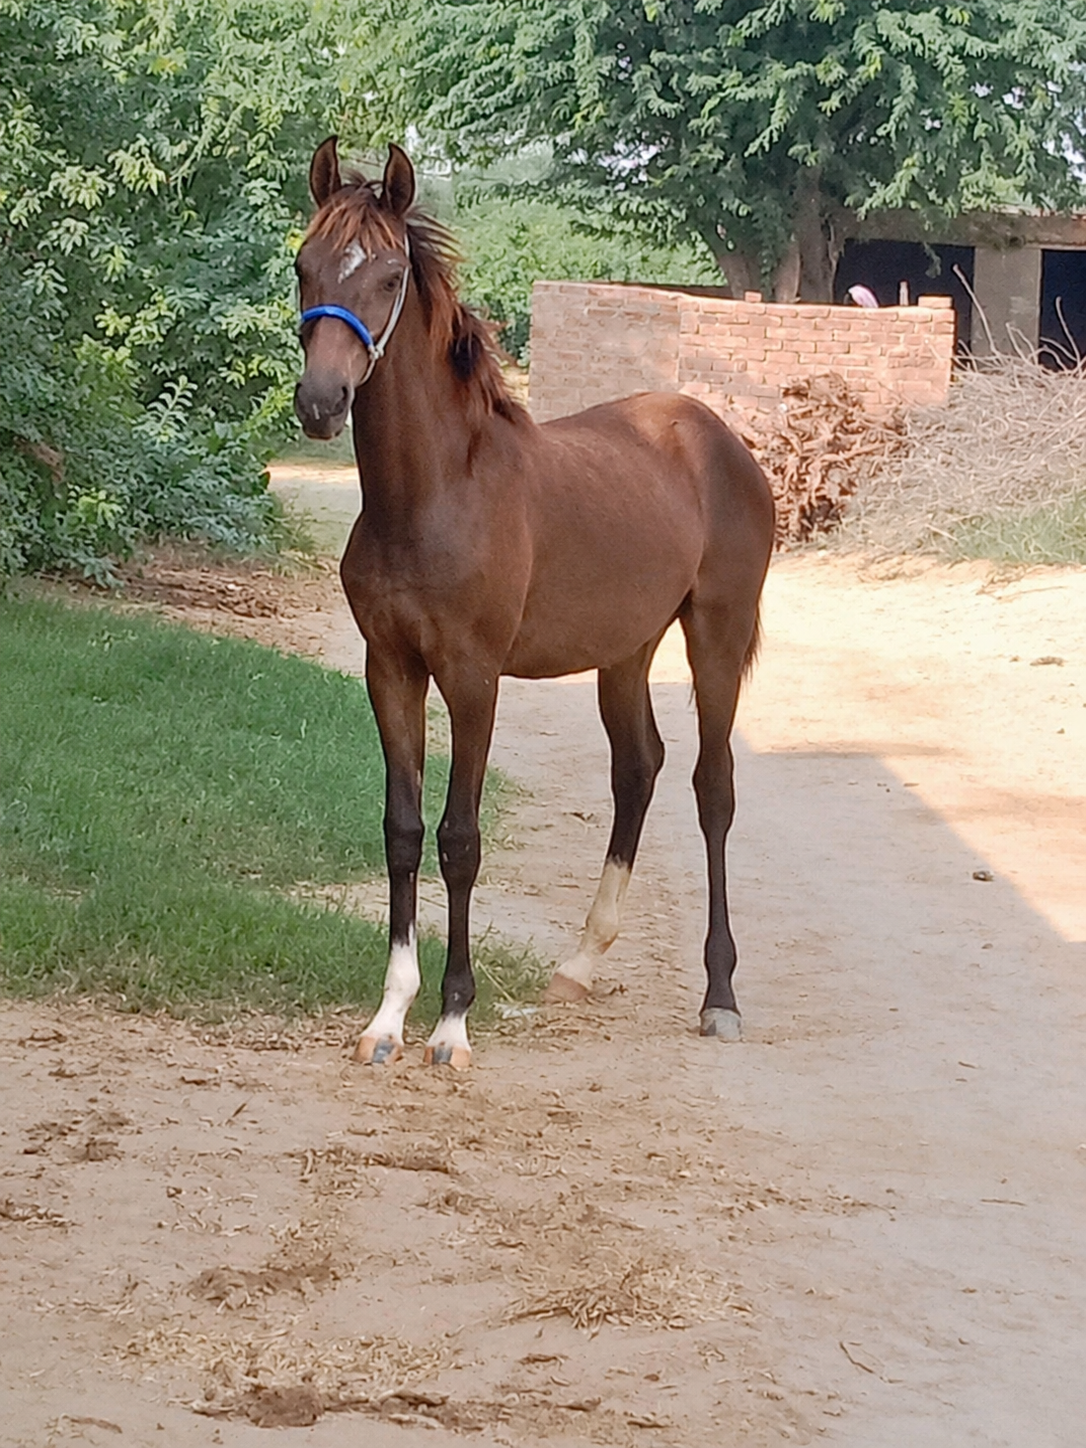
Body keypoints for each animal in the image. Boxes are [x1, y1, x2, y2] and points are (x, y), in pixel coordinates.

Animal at [293, 139, 775, 1069]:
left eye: (389, 275)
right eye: (304, 266)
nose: (320, 404)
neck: (433, 495)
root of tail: (719, 436)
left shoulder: (474, 679)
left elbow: (460, 839)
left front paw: (452, 1022)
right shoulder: (391, 670)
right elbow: (402, 831)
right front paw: (387, 1017)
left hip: (716, 637)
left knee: (713, 788)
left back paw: (723, 995)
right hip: (626, 650)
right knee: (639, 769)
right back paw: (581, 965)